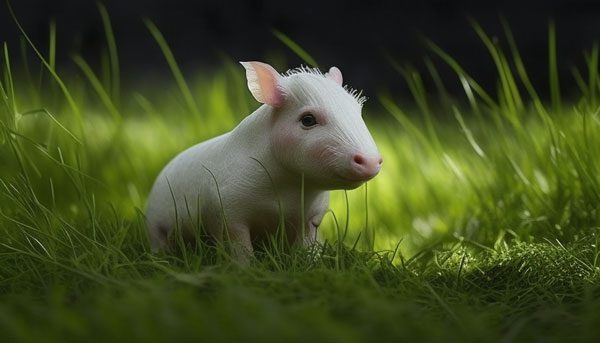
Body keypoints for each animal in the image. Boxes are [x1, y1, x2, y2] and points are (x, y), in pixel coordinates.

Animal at [146, 61, 382, 264]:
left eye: (358, 112)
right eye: (308, 119)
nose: (371, 161)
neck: (286, 193)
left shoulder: (312, 216)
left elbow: (307, 244)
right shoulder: (224, 209)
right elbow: (238, 246)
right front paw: (246, 269)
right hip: (156, 223)